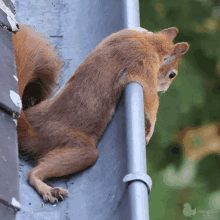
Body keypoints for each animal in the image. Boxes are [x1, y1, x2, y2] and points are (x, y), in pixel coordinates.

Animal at [13, 24, 189, 203]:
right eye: (172, 74)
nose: (165, 88)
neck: (149, 42)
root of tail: (31, 129)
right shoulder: (143, 64)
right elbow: (151, 97)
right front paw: (150, 128)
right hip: (69, 143)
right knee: (35, 172)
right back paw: (45, 187)